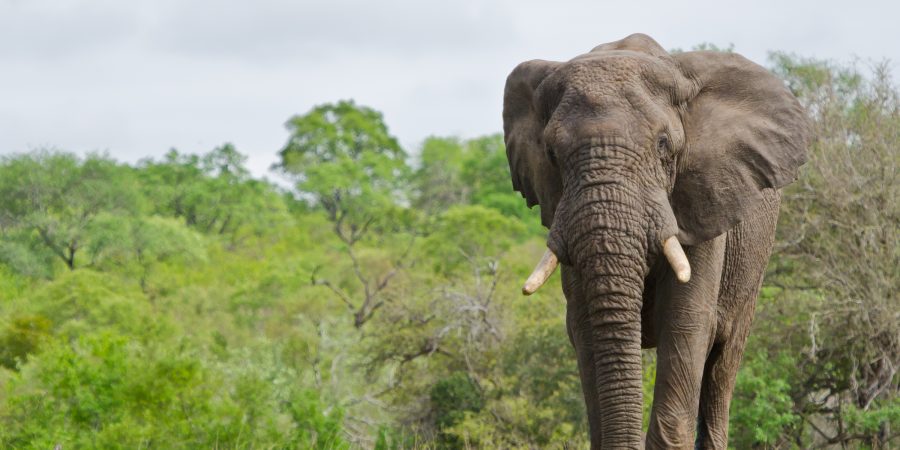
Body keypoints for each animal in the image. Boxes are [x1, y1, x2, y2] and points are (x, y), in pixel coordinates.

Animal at [506, 33, 808, 448]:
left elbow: (686, 322)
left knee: (723, 366)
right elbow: (584, 327)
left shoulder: (703, 202)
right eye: (551, 153)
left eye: (664, 144)